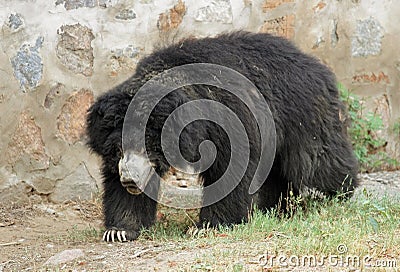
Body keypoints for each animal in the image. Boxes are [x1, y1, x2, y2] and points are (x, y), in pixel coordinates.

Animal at [86, 31, 358, 242]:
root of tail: (315, 63)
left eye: (147, 147)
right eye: (118, 149)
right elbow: (119, 189)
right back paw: (274, 207)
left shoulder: (228, 119)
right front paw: (119, 230)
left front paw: (207, 226)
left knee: (319, 160)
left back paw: (341, 192)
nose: (129, 179)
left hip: (303, 113)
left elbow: (232, 168)